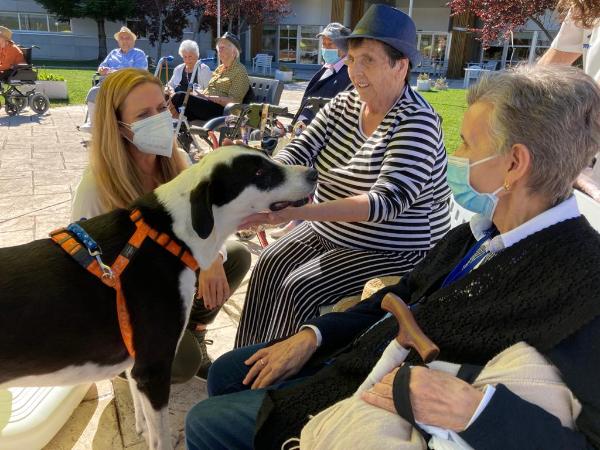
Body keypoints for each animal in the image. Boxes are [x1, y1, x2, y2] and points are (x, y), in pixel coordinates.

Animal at [0, 146, 318, 448]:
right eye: (260, 173)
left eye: (267, 159)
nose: (313, 173)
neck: (172, 235)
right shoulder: (153, 368)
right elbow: (160, 437)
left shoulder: (137, 366)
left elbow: (144, 416)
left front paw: (141, 428)